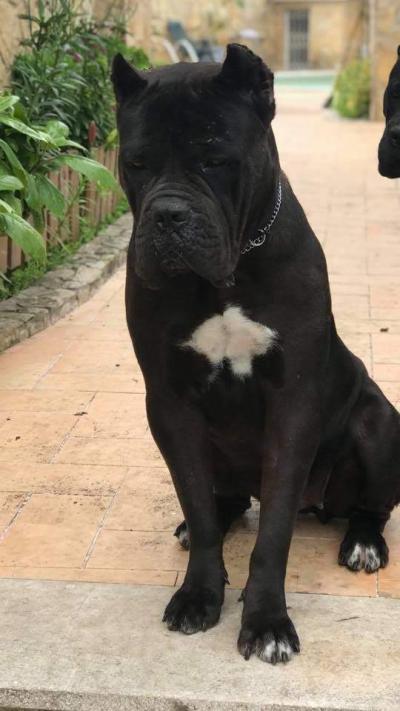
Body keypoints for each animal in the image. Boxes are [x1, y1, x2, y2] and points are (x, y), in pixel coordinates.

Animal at [112, 45, 400, 665]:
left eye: (215, 159)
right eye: (136, 163)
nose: (168, 215)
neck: (228, 274)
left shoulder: (294, 405)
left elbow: (273, 535)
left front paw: (268, 621)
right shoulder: (169, 401)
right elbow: (196, 500)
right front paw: (199, 593)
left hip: (379, 423)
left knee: (370, 503)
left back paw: (363, 542)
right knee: (223, 501)